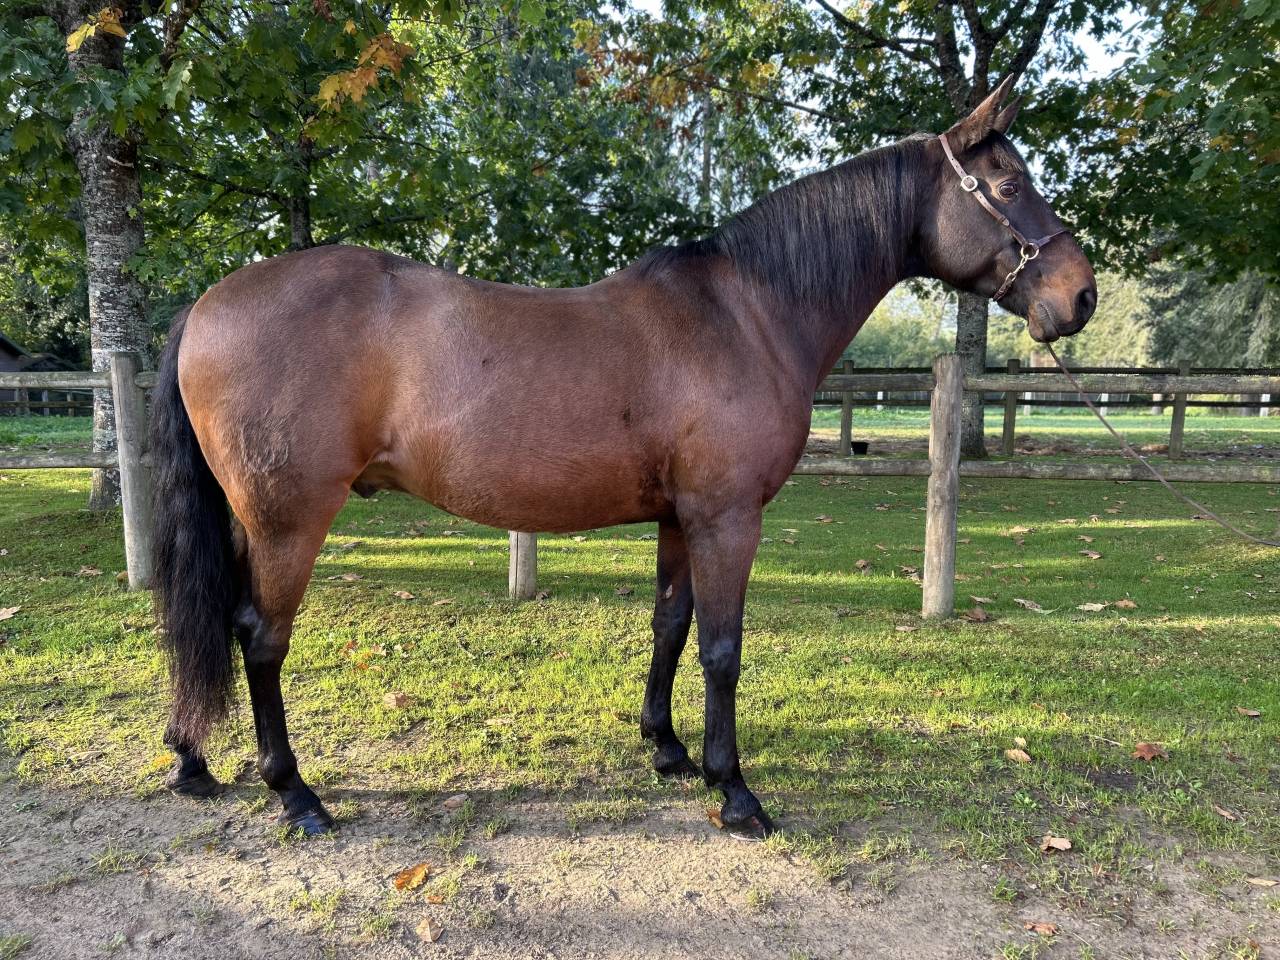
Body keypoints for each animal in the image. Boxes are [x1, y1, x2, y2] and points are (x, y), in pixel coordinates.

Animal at [150, 77, 1095, 837]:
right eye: (1008, 183)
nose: (1080, 295)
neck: (748, 313)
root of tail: (206, 305)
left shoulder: (682, 518)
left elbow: (670, 626)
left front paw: (667, 749)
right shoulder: (727, 519)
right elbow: (723, 648)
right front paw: (735, 792)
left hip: (249, 519)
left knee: (211, 620)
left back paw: (192, 758)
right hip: (290, 519)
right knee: (260, 636)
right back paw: (296, 794)